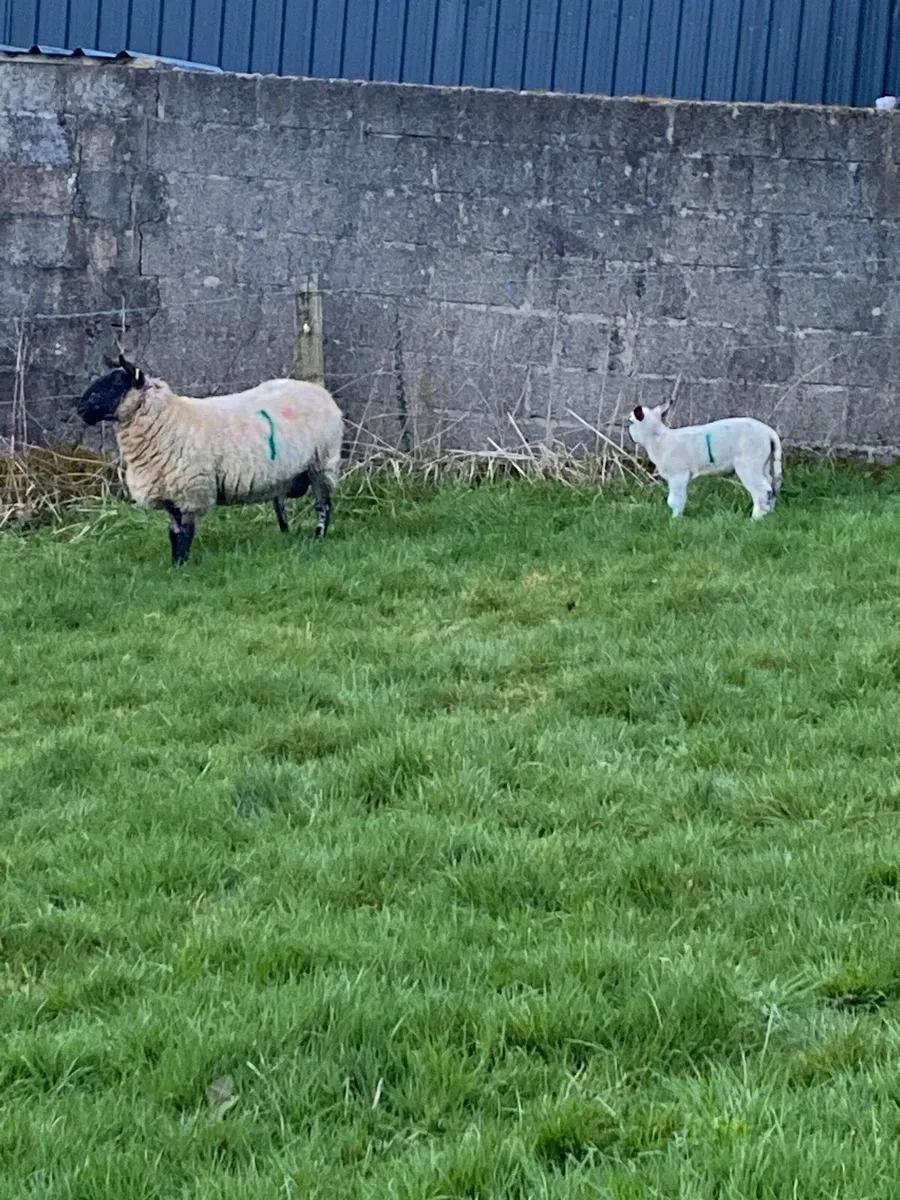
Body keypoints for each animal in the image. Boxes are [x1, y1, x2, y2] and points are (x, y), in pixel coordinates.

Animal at [74, 354, 343, 564]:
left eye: (116, 384)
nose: (80, 409)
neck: (167, 420)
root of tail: (320, 391)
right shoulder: (170, 490)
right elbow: (172, 531)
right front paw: (174, 564)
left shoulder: (190, 489)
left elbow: (184, 532)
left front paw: (182, 565)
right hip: (287, 471)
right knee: (281, 503)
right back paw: (285, 533)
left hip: (321, 461)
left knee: (323, 505)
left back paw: (318, 537)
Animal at [628, 401, 782, 519]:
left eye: (630, 422)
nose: (631, 437)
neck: (659, 439)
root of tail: (769, 432)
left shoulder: (678, 474)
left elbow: (674, 500)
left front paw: (675, 520)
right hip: (763, 462)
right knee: (772, 486)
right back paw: (769, 515)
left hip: (748, 463)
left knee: (762, 490)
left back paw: (755, 519)